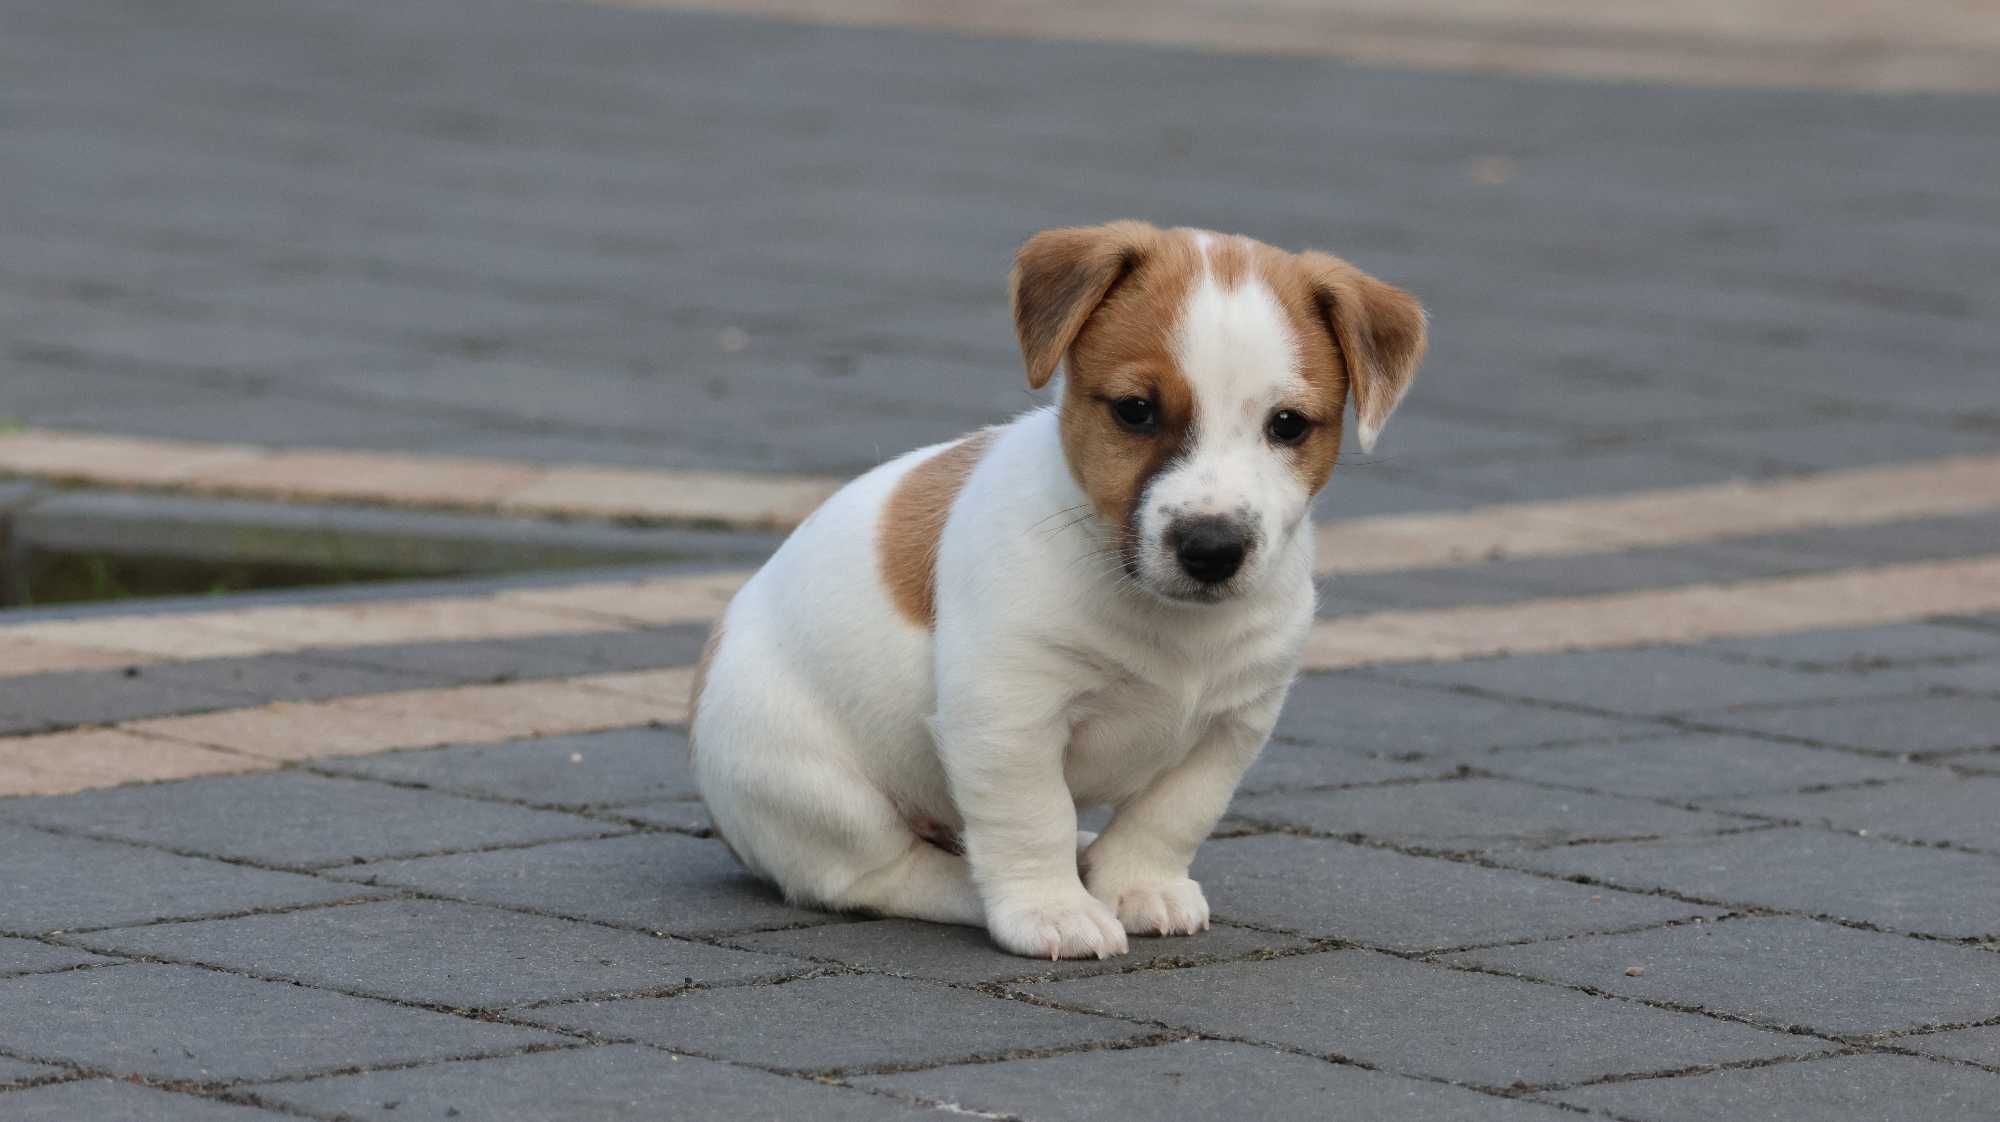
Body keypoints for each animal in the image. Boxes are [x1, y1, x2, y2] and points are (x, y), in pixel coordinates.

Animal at [688, 223, 1424, 960]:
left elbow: (1173, 814)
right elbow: (1030, 818)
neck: (1165, 619)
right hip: (819, 789)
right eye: (1135, 411)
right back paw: (976, 887)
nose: (1212, 549)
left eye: (1289, 424)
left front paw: (1138, 884)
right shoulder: (1010, 716)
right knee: (879, 872)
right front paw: (1053, 909)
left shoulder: (1234, 725)